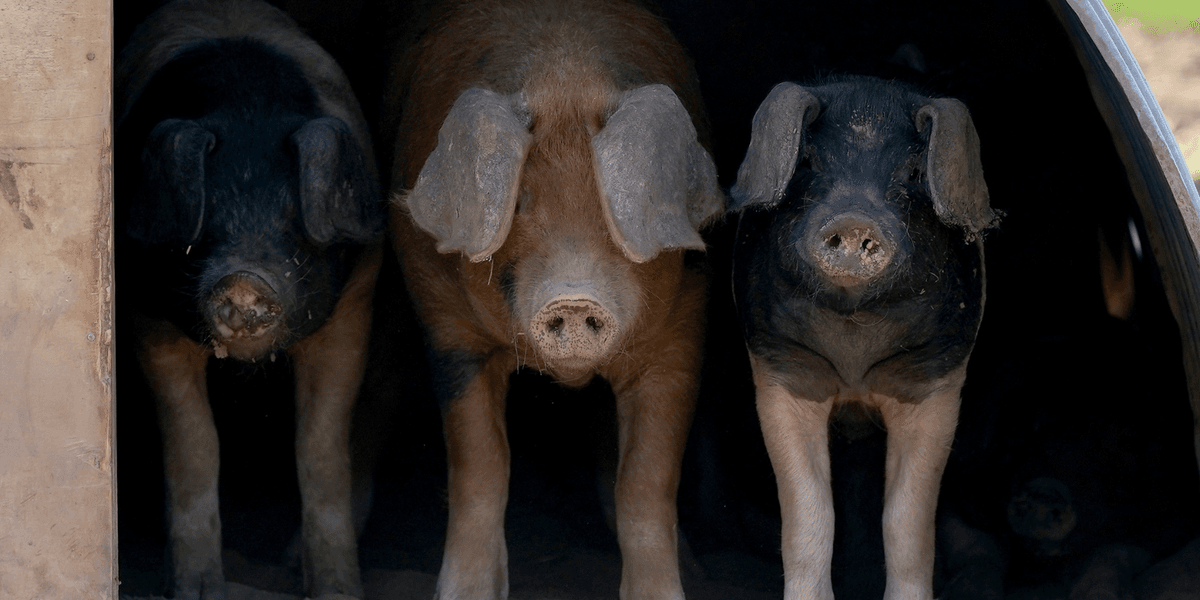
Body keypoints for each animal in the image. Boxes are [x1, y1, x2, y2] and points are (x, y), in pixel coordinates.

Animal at [115, 1, 383, 598]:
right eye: (203, 230)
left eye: (293, 227)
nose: (243, 281)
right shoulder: (147, 310)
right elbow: (194, 443)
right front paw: (196, 589)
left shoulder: (354, 303)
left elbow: (319, 450)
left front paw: (336, 590)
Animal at [381, 1, 725, 598]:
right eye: (520, 202)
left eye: (612, 203)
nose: (573, 299)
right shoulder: (446, 328)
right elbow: (480, 465)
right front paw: (464, 592)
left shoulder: (682, 333)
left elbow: (646, 480)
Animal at [728, 76, 999, 600]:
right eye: (809, 162)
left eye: (913, 173)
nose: (852, 221)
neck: (854, 368)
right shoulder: (782, 370)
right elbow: (810, 516)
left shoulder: (935, 382)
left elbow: (907, 524)